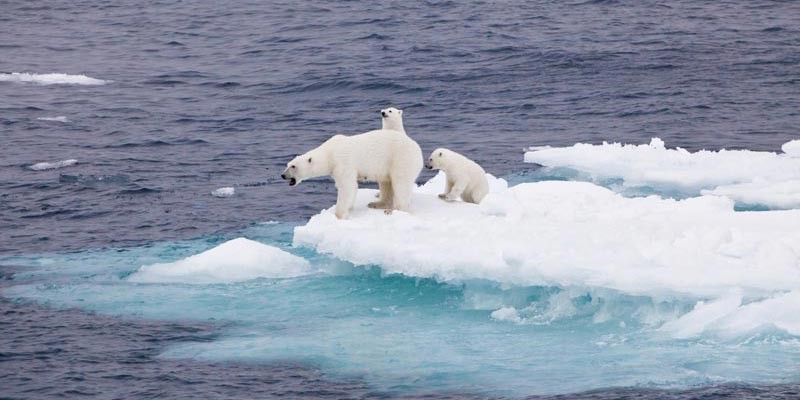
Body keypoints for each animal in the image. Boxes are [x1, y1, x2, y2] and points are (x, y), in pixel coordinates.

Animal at [280, 126, 422, 219]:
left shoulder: (343, 162)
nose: (283, 175)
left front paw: (339, 215)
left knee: (401, 182)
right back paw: (377, 204)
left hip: (400, 158)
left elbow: (346, 186)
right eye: (287, 164)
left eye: (293, 166)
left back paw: (394, 210)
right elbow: (352, 188)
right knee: (386, 182)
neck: (330, 152)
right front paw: (349, 208)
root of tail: (418, 150)